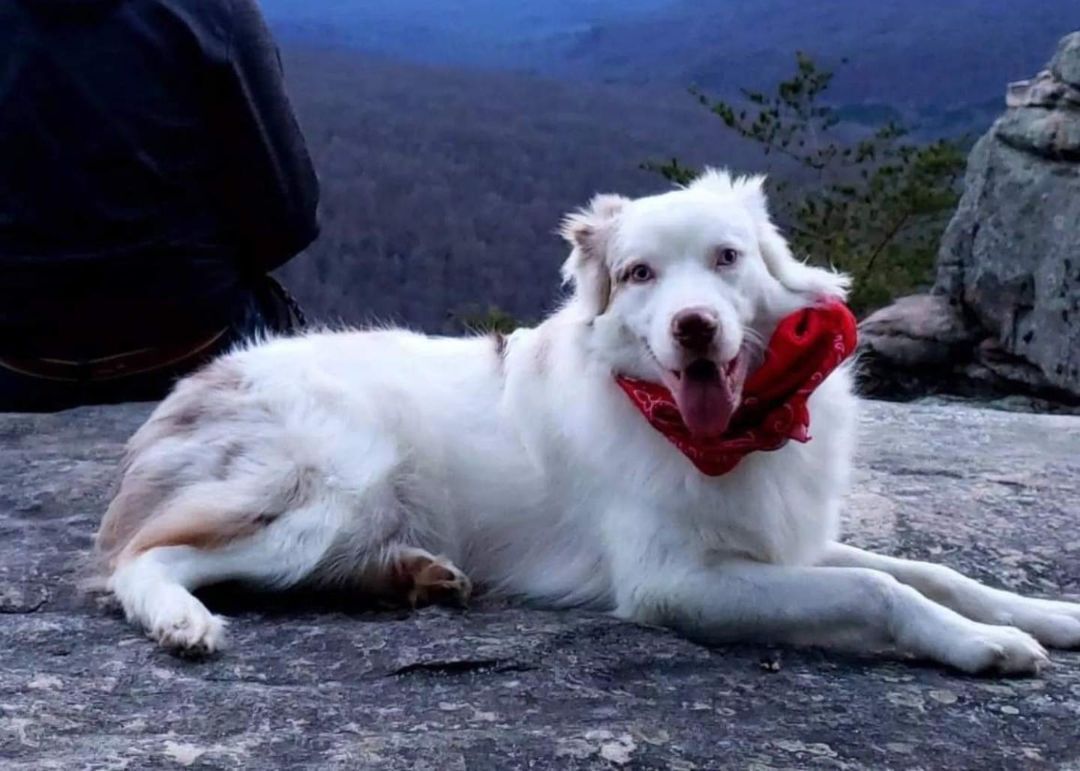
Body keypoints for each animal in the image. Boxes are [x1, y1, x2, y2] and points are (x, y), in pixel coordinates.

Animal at [97, 166, 1075, 665]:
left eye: (727, 258)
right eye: (640, 274)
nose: (693, 326)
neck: (726, 430)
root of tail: (197, 382)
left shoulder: (778, 539)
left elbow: (930, 571)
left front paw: (1042, 615)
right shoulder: (675, 581)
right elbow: (880, 590)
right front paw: (984, 646)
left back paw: (418, 574)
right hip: (332, 487)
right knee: (142, 558)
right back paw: (180, 618)